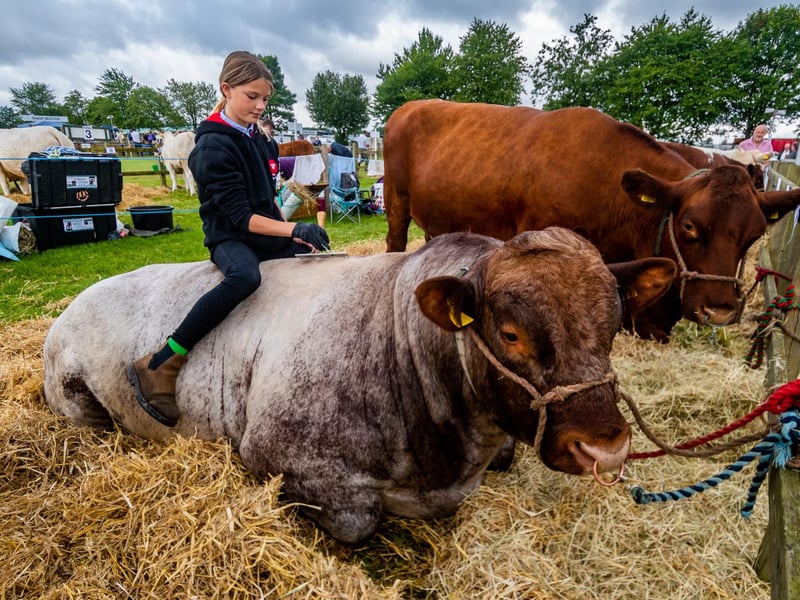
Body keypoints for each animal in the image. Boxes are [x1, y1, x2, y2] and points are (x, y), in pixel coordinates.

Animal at [43, 228, 675, 543]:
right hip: (76, 401)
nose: (605, 448)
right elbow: (357, 524)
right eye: (512, 333)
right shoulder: (273, 456)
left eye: (614, 323)